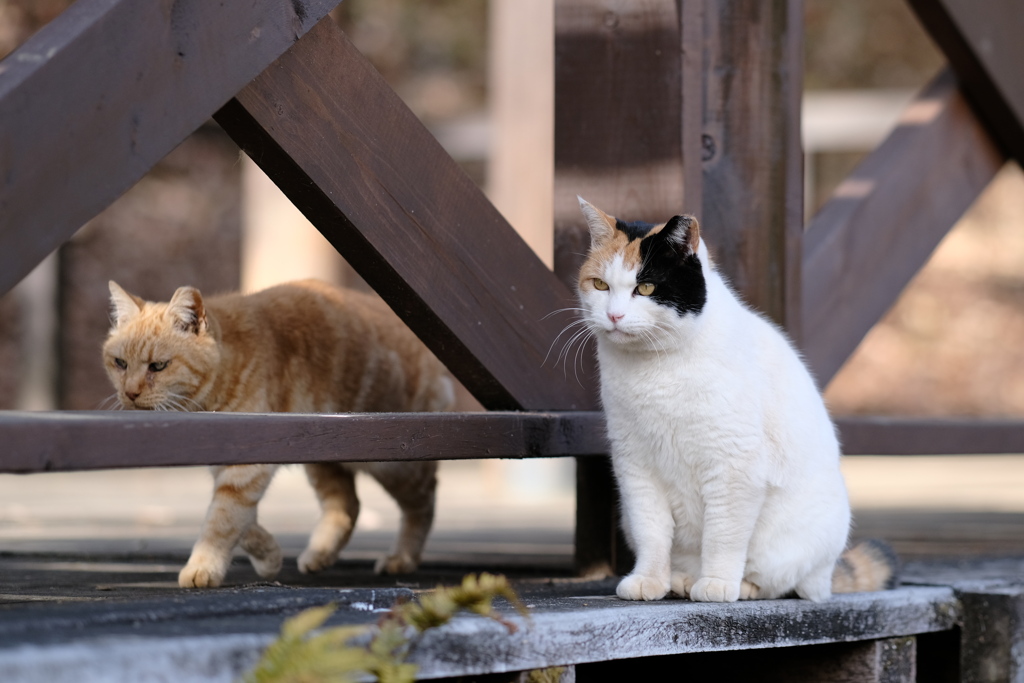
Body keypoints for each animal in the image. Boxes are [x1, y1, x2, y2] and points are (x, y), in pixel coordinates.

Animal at [102, 278, 452, 589]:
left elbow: (222, 519)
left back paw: (402, 558)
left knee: (424, 502)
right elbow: (240, 520)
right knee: (347, 505)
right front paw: (269, 556)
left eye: (158, 367)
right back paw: (319, 554)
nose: (129, 393)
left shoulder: (246, 466)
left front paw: (203, 567)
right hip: (324, 460)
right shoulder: (229, 468)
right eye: (120, 363)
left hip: (395, 465)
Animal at [577, 198, 897, 602]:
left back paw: (738, 586)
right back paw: (680, 580)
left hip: (799, 544)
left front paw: (716, 584)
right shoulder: (635, 464)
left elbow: (723, 536)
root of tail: (827, 576)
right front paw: (649, 580)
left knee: (781, 582)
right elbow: (652, 531)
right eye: (600, 285)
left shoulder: (734, 465)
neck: (656, 368)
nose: (614, 315)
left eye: (646, 287)